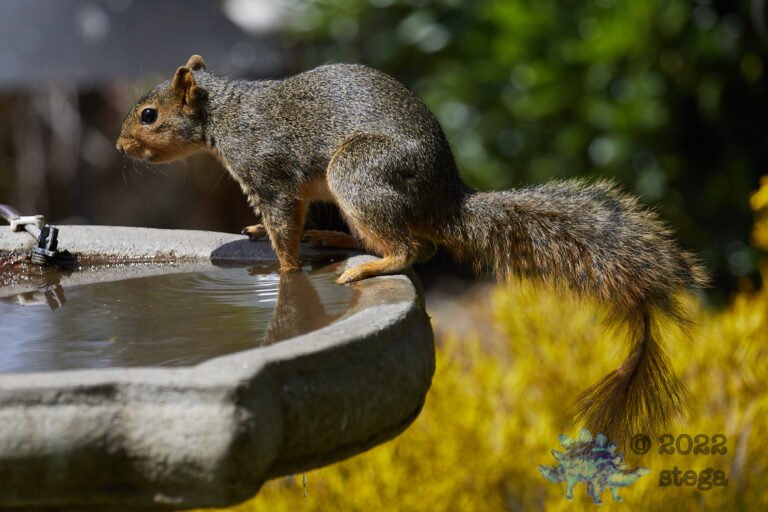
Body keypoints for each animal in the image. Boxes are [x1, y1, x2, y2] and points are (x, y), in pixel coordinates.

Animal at [116, 55, 709, 444]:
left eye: (149, 115)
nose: (120, 146)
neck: (224, 115)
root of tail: (445, 197)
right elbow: (283, 223)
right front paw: (262, 236)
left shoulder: (271, 174)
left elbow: (285, 226)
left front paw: (284, 269)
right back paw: (335, 240)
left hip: (358, 175)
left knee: (413, 250)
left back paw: (369, 266)